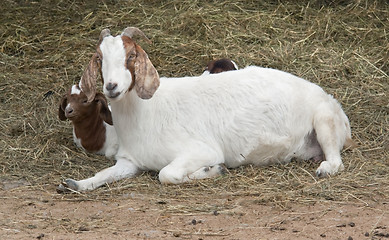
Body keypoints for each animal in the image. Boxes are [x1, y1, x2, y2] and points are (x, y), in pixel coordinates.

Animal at [56, 26, 352, 191]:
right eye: (99, 59)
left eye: (131, 56)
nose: (112, 87)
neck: (145, 114)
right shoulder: (130, 162)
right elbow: (104, 174)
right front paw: (74, 184)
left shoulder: (201, 150)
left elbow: (166, 174)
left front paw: (213, 171)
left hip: (324, 120)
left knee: (337, 161)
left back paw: (324, 169)